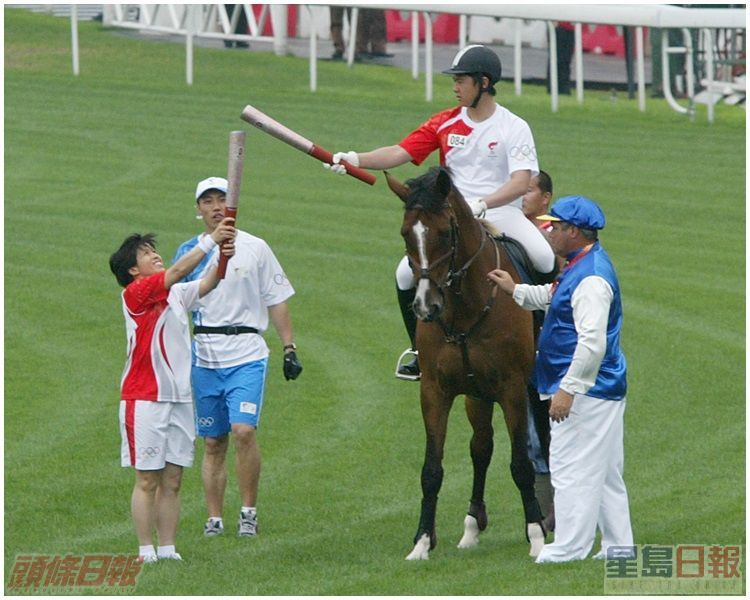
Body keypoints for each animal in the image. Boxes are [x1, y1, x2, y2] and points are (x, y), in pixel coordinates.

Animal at [385, 166, 545, 560]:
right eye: (405, 232)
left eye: (445, 232)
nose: (425, 307)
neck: (464, 305)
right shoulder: (435, 391)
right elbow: (432, 469)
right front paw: (422, 541)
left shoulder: (513, 388)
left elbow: (521, 464)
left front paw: (536, 536)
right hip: (476, 394)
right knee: (481, 447)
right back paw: (472, 525)